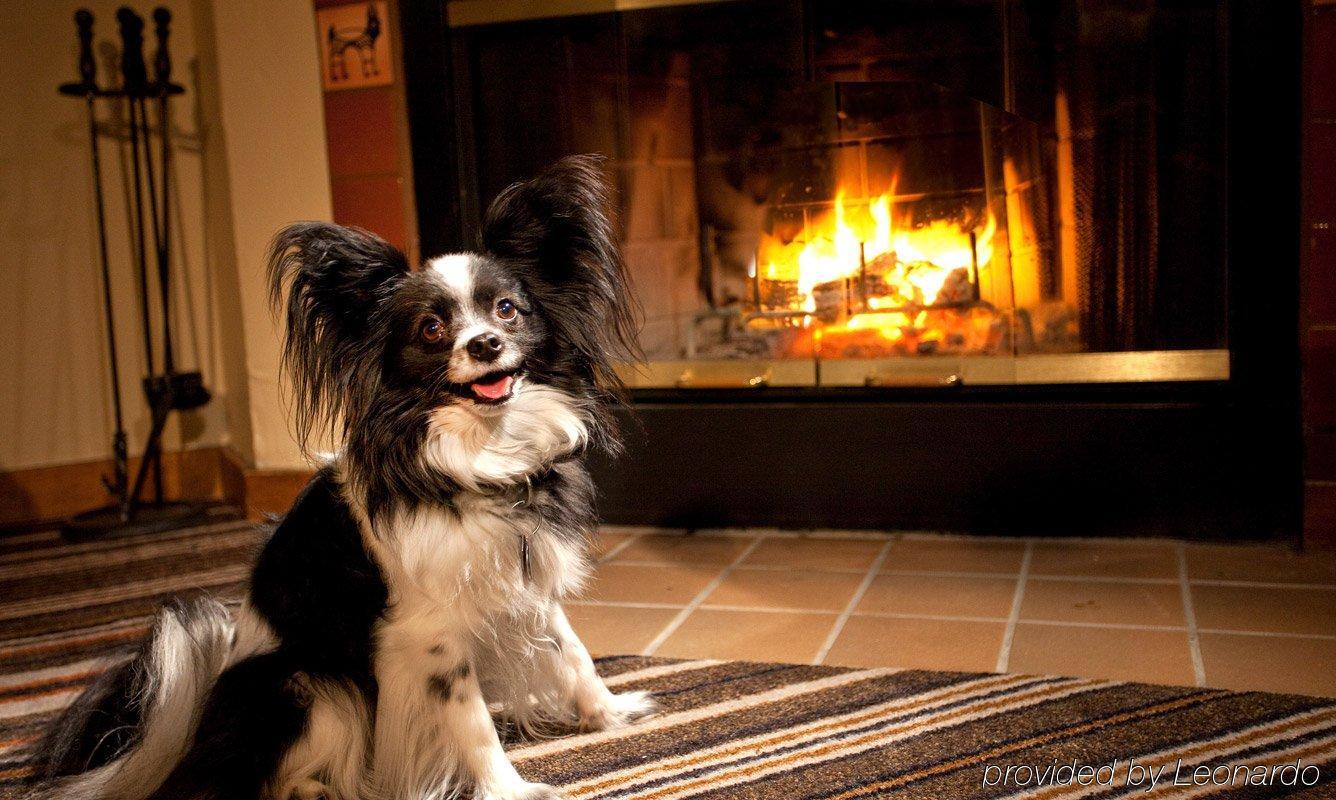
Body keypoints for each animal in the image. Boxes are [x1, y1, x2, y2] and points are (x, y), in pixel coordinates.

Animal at [28, 156, 654, 800]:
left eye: (507, 308)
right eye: (431, 329)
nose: (485, 344)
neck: (478, 456)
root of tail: (188, 741)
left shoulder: (526, 588)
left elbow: (573, 651)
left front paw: (610, 713)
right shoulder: (431, 640)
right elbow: (473, 722)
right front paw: (511, 789)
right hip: (310, 685)